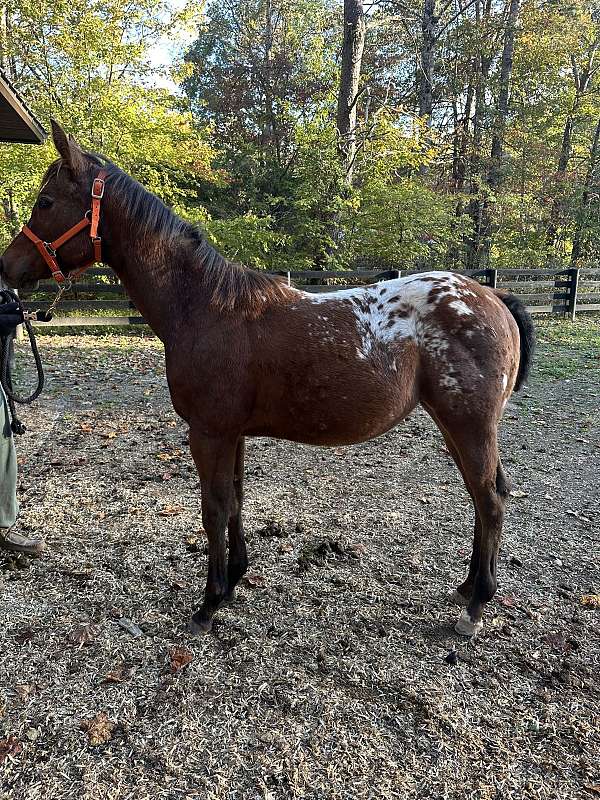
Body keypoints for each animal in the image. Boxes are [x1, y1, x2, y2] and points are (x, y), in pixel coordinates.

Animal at [0, 123, 536, 636]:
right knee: (483, 496)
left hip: (469, 425)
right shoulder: (232, 433)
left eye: (46, 202)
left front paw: (209, 603)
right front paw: (234, 579)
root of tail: (492, 296)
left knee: (489, 501)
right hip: (454, 427)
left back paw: (476, 607)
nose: (8, 267)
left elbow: (214, 508)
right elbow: (236, 500)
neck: (205, 308)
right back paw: (467, 588)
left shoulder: (208, 432)